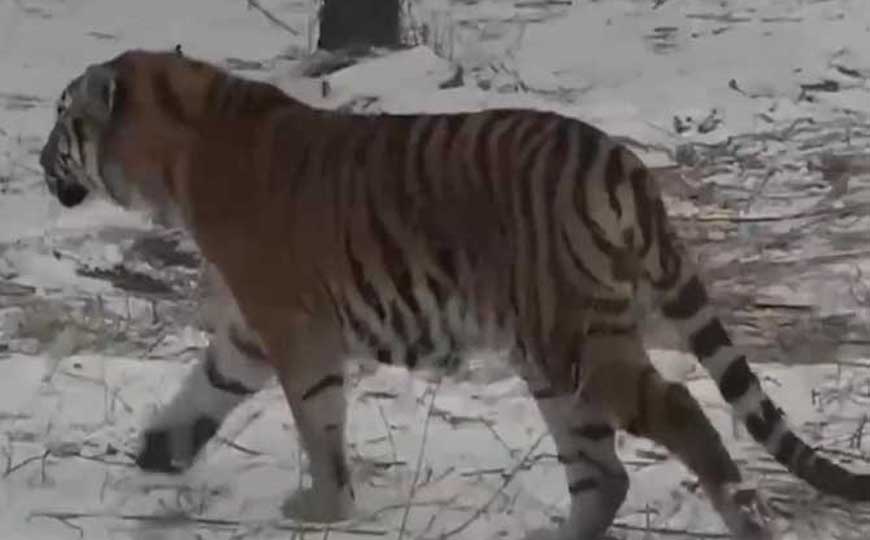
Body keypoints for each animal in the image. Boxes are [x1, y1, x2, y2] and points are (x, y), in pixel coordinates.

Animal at [38, 48, 870, 540]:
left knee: (677, 409)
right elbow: (205, 389)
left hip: (577, 339)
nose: (40, 159)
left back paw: (745, 515)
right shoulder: (249, 328)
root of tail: (617, 158)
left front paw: (323, 508)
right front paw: (157, 452)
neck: (174, 153)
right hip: (552, 356)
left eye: (62, 120)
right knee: (604, 473)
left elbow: (317, 425)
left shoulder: (292, 326)